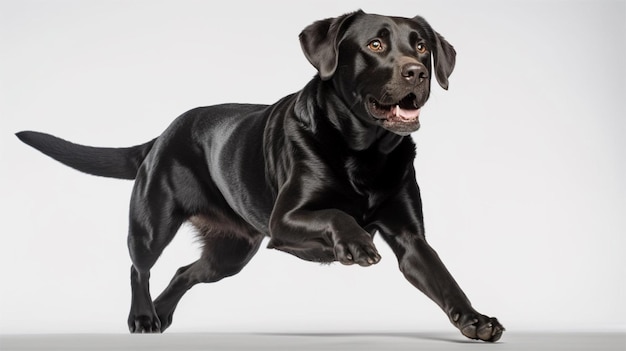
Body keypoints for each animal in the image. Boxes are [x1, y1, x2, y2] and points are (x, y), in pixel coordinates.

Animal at [15, 11, 502, 344]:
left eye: (421, 48)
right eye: (377, 45)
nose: (417, 73)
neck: (364, 150)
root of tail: (162, 134)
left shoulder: (410, 238)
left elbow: (444, 279)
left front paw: (475, 319)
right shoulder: (284, 221)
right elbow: (338, 216)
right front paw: (356, 244)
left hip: (229, 254)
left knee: (183, 273)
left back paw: (161, 315)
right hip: (152, 224)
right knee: (140, 267)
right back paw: (142, 317)